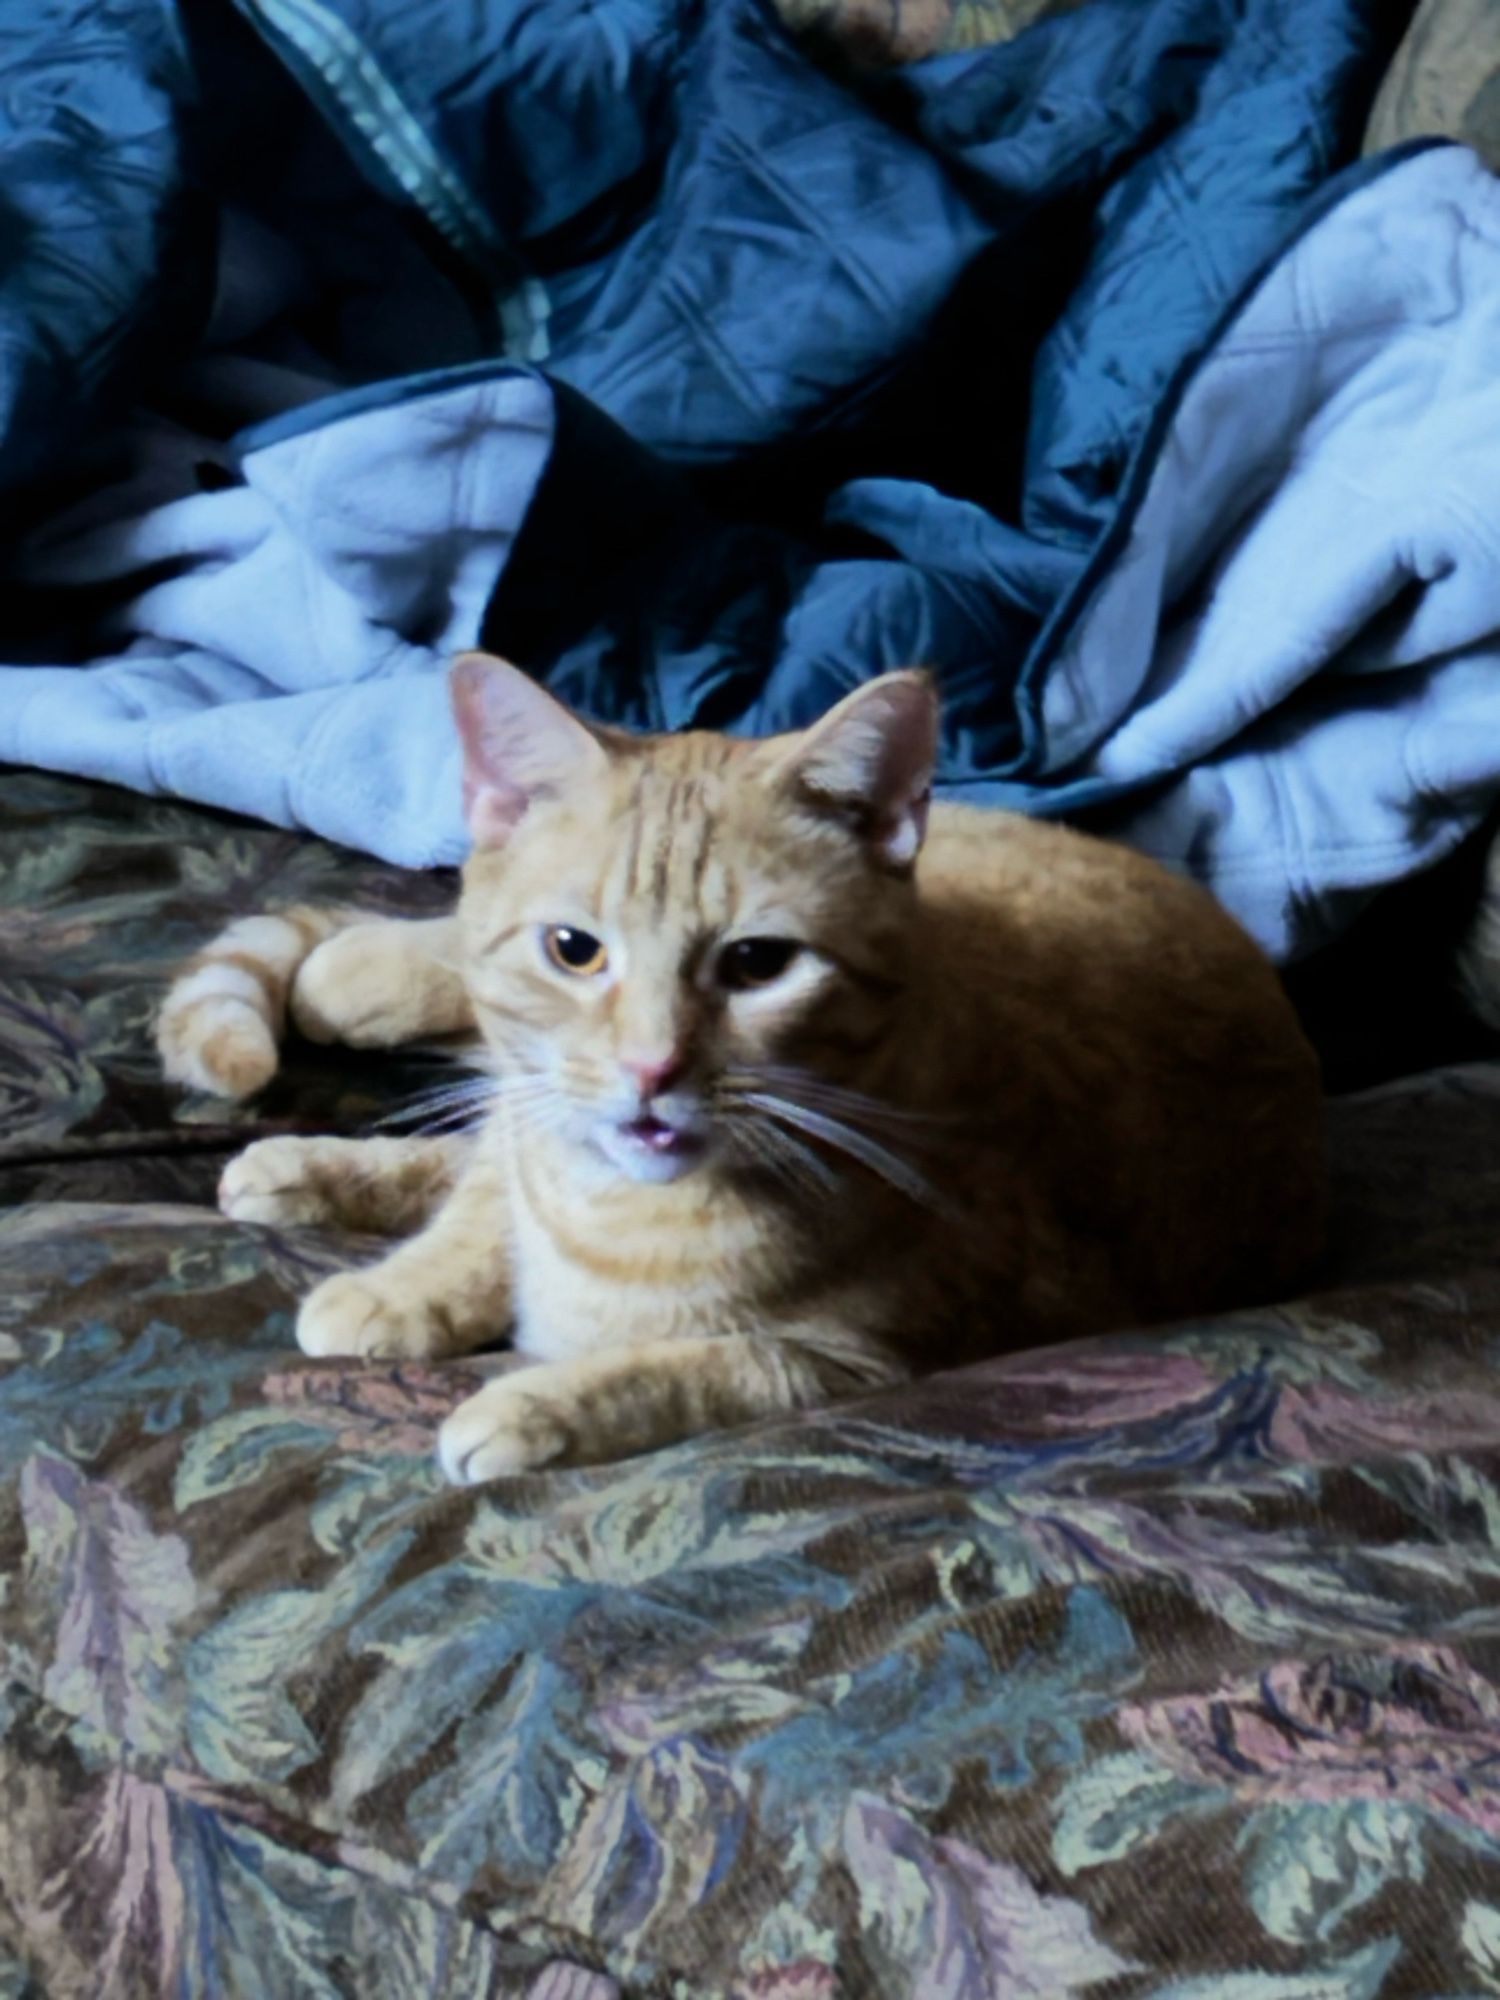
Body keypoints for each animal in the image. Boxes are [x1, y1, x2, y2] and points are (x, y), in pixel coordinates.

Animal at [156, 648, 1328, 1480]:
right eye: (574, 949)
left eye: (759, 964)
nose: (649, 1067)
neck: (624, 1213)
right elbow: (486, 1203)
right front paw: (406, 1285)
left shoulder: (867, 1357)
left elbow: (701, 1367)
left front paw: (536, 1403)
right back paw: (335, 1048)